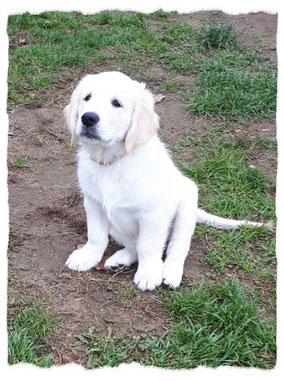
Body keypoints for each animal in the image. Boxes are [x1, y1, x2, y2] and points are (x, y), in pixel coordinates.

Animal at [63, 71, 270, 290]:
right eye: (87, 98)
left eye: (116, 103)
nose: (88, 118)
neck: (112, 162)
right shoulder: (93, 203)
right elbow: (96, 235)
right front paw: (87, 256)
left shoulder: (153, 214)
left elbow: (148, 246)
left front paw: (149, 273)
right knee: (133, 244)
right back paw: (120, 259)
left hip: (187, 203)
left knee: (176, 246)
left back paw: (170, 271)